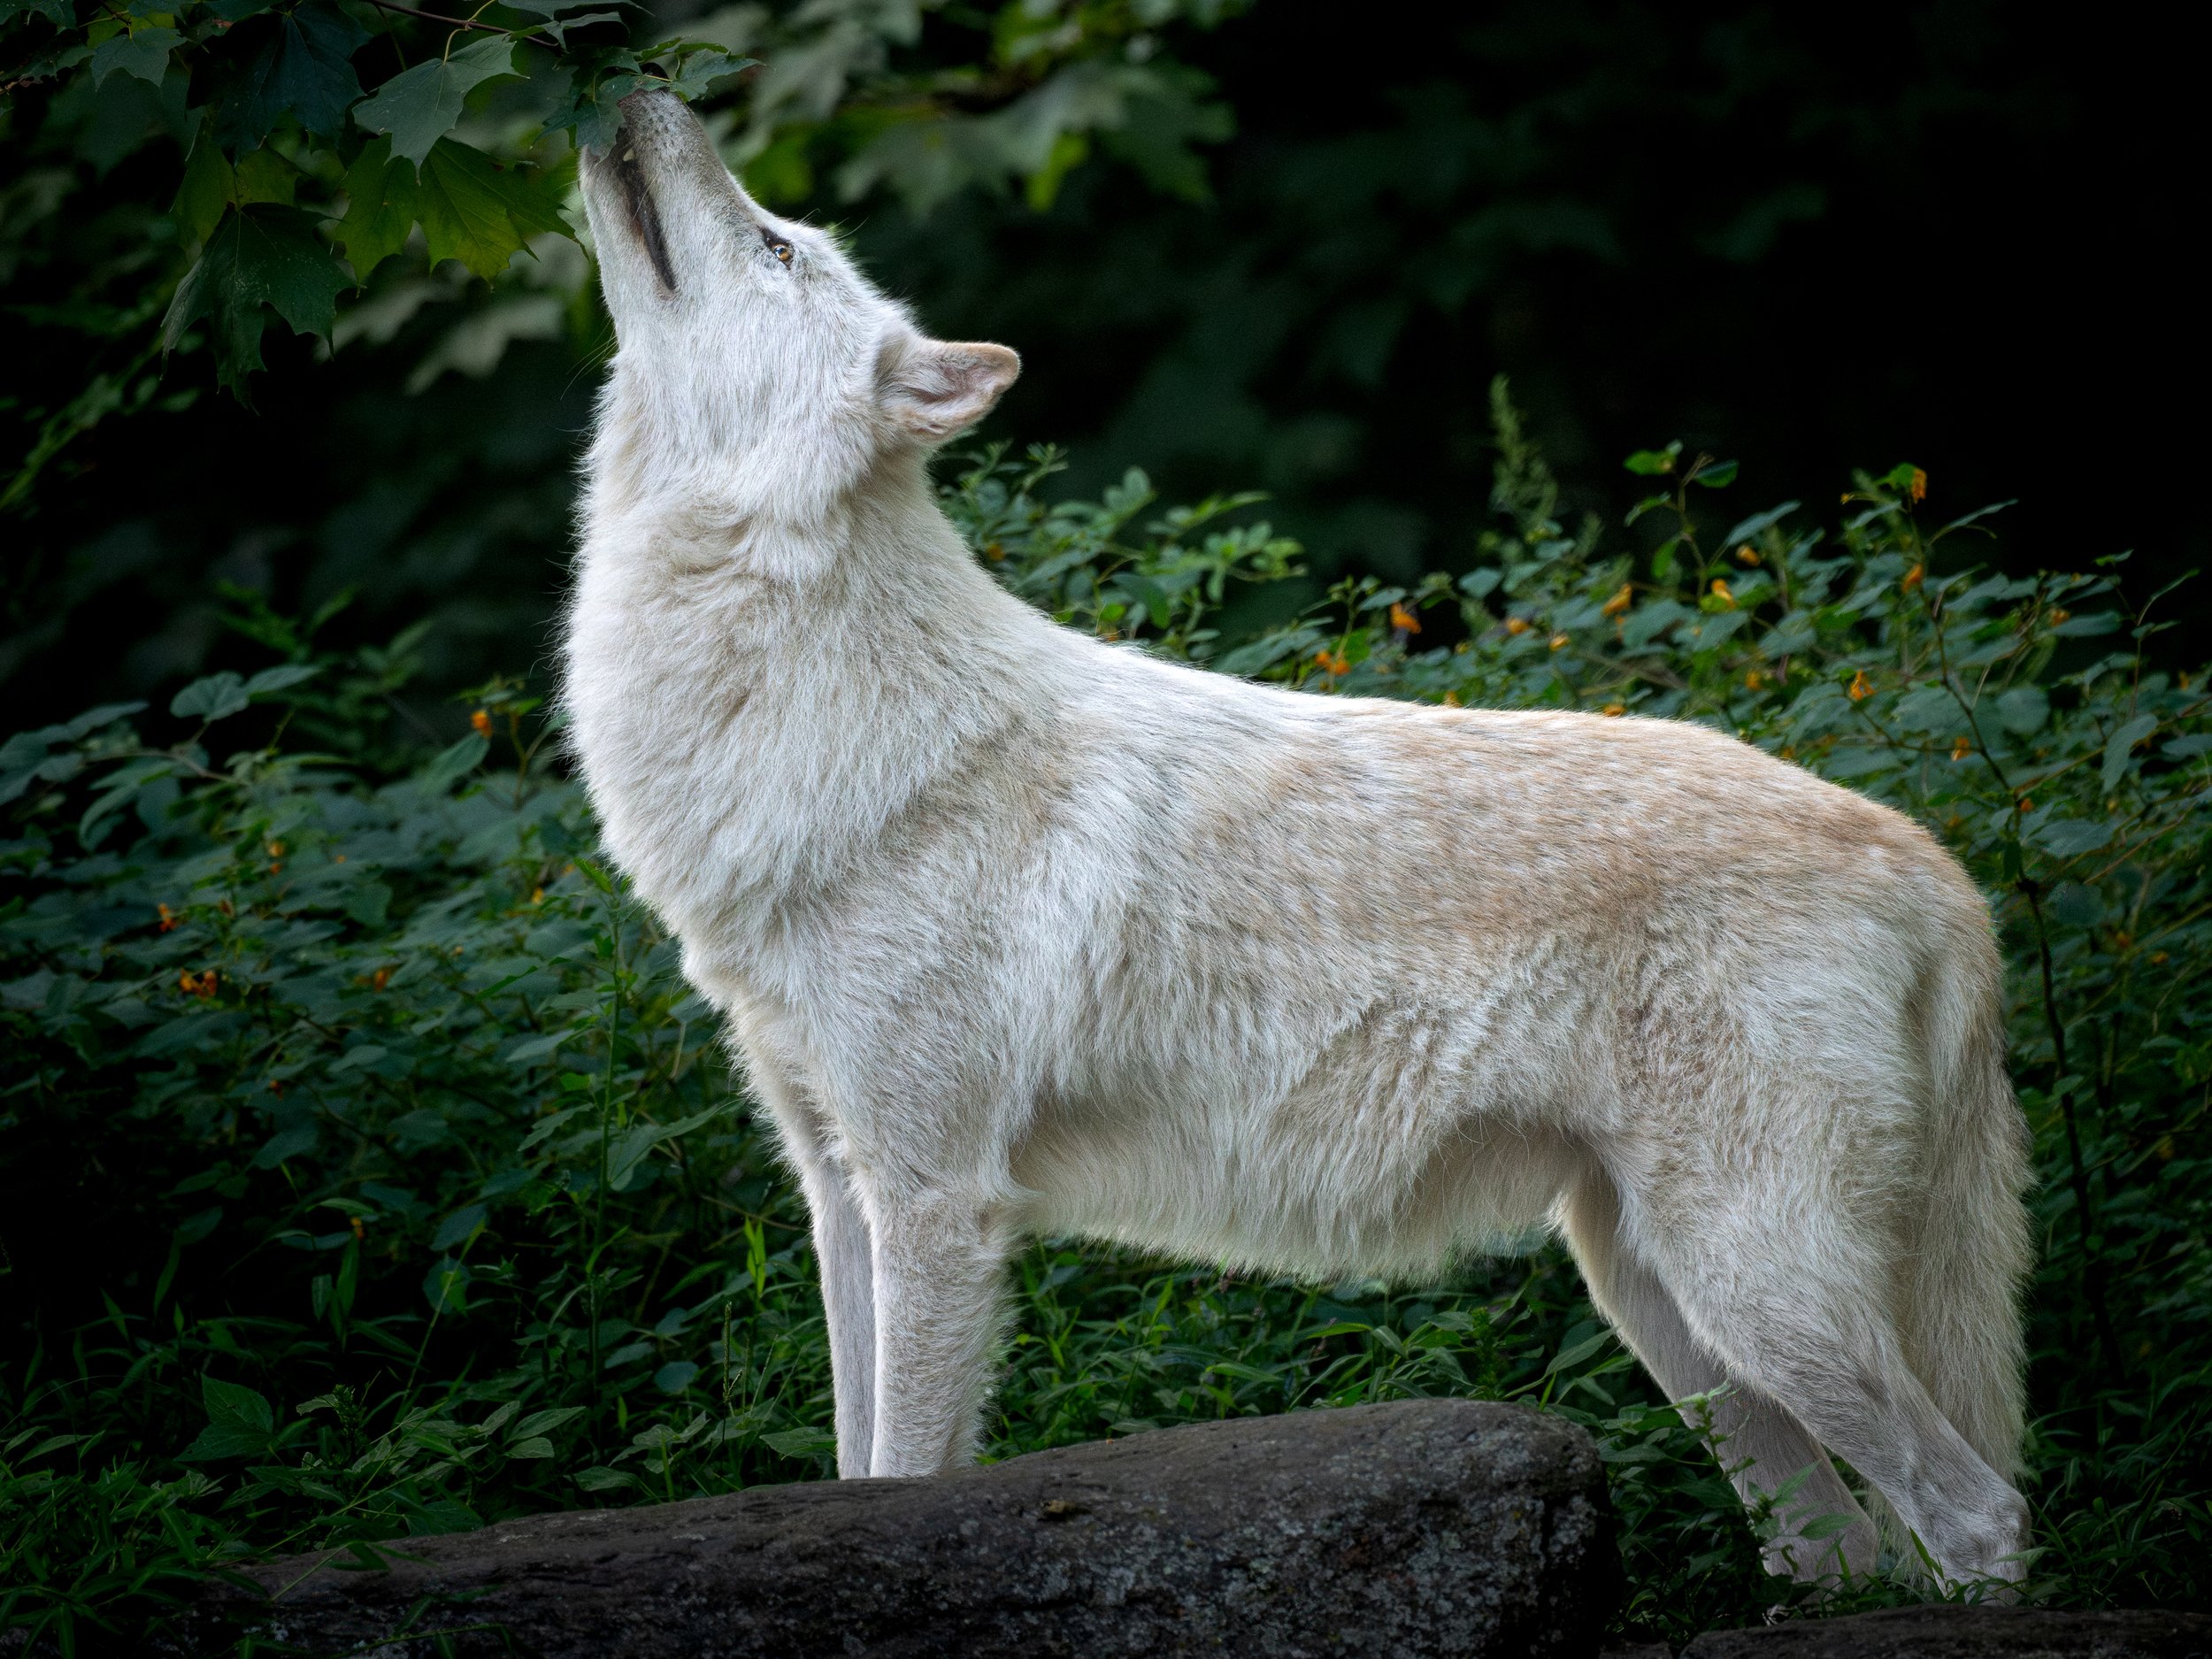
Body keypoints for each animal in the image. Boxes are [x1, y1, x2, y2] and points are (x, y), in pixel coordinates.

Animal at [564, 88, 2034, 1587]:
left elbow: (906, 1472)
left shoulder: (935, 1204)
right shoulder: (838, 1190)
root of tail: (1926, 854)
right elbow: (854, 1465)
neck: (819, 713)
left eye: (778, 244)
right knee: (1841, 1546)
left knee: (1978, 1510)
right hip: (1668, 1309)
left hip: (1758, 1292)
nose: (645, 93)